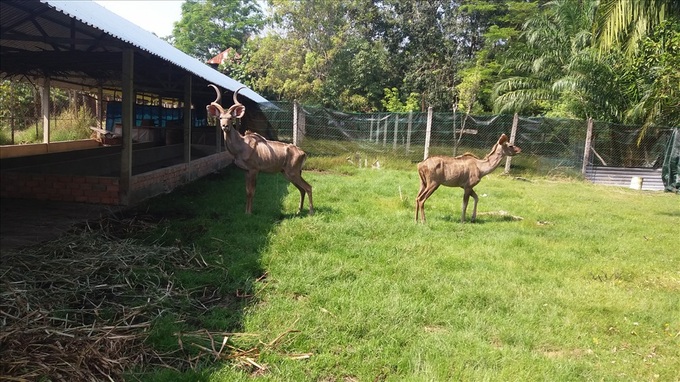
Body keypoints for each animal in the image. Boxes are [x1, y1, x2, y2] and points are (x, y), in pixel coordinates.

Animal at [207, 84, 314, 215]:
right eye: (221, 117)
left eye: (231, 118)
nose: (225, 126)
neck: (241, 146)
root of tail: (303, 153)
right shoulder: (246, 171)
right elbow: (247, 191)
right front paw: (246, 212)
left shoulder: (254, 170)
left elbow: (251, 191)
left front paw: (249, 213)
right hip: (288, 173)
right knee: (302, 189)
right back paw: (299, 210)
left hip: (292, 173)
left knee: (308, 187)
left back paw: (310, 212)